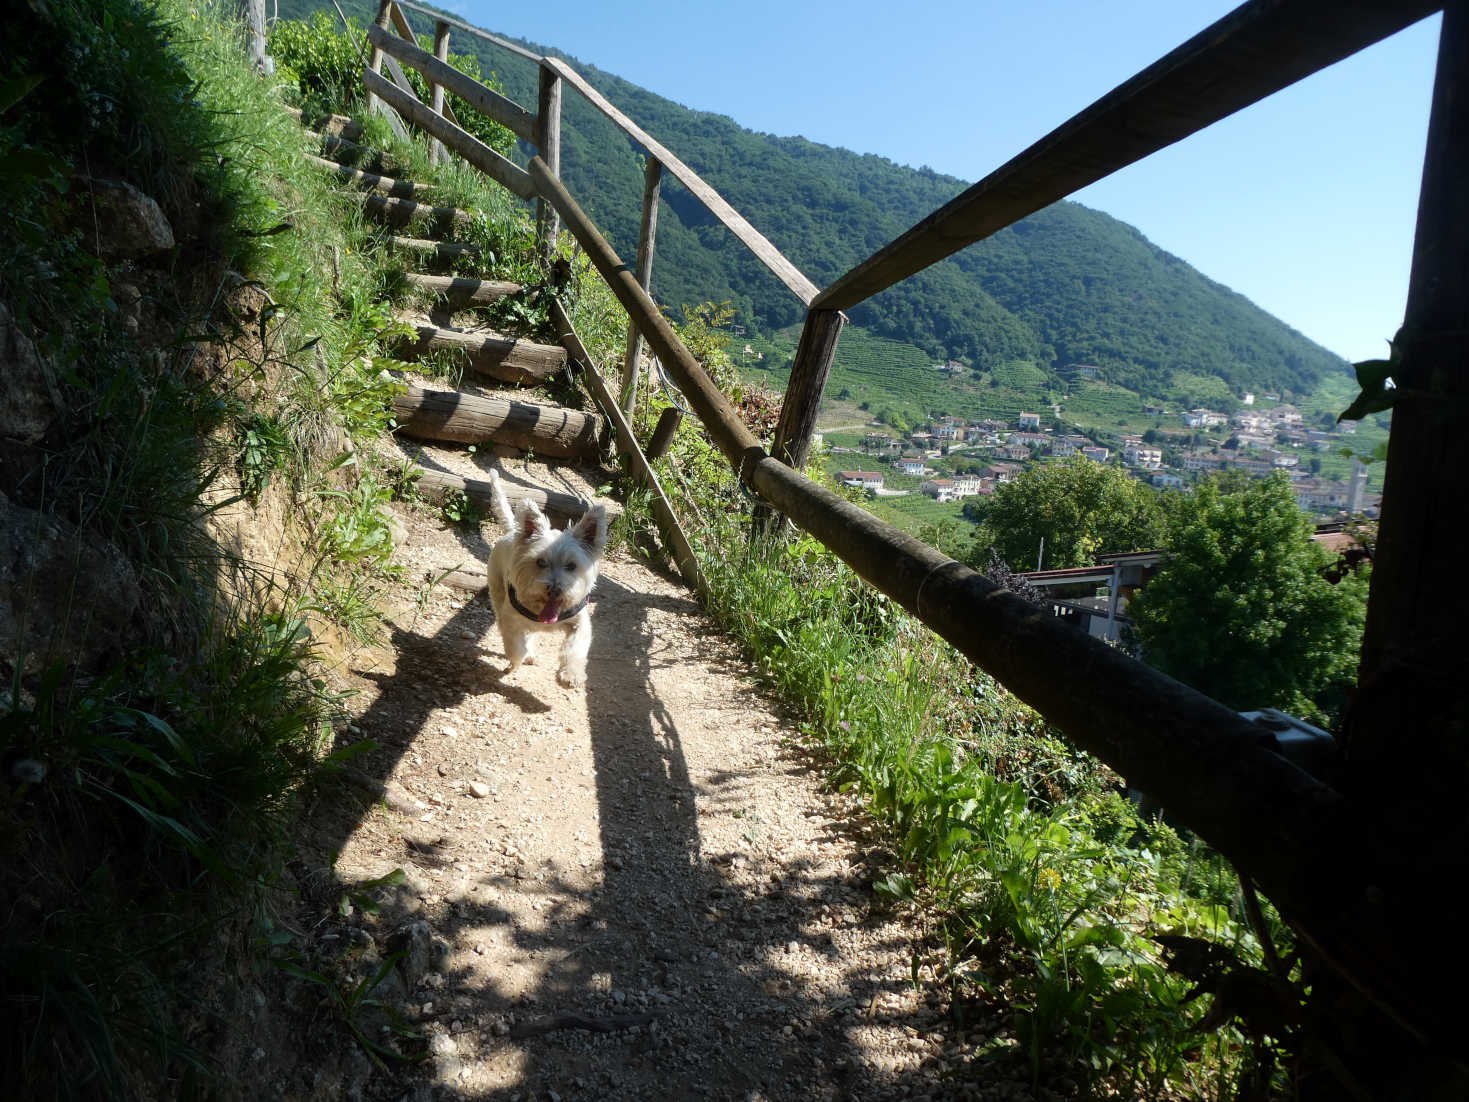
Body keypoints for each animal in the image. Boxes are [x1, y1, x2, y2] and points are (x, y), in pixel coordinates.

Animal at [484, 473, 605, 690]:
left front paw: (570, 675)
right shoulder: (510, 620)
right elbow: (515, 646)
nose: (555, 590)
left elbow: (575, 647)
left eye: (572, 566)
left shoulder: (580, 622)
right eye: (540, 562)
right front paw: (517, 661)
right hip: (496, 589)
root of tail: (512, 531)